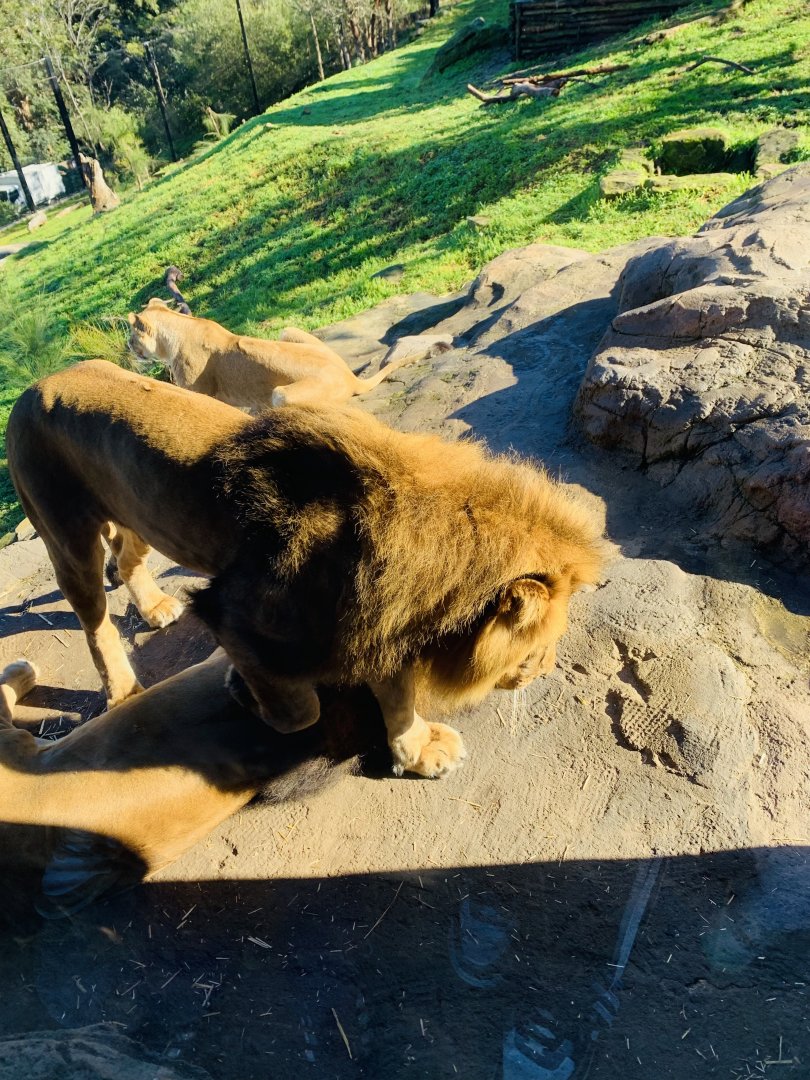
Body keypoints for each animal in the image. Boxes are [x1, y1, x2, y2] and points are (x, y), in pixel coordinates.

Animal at [7, 360, 607, 778]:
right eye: (537, 648)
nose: (546, 671)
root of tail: (33, 388)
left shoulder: (376, 624)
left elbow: (397, 696)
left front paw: (416, 749)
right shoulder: (233, 615)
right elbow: (301, 711)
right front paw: (243, 692)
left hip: (136, 518)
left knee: (127, 559)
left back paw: (155, 608)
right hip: (64, 534)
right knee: (94, 620)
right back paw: (124, 688)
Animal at [127, 298, 424, 409]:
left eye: (132, 335)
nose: (129, 346)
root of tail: (350, 377)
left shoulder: (199, 393)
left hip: (281, 394)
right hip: (288, 330)